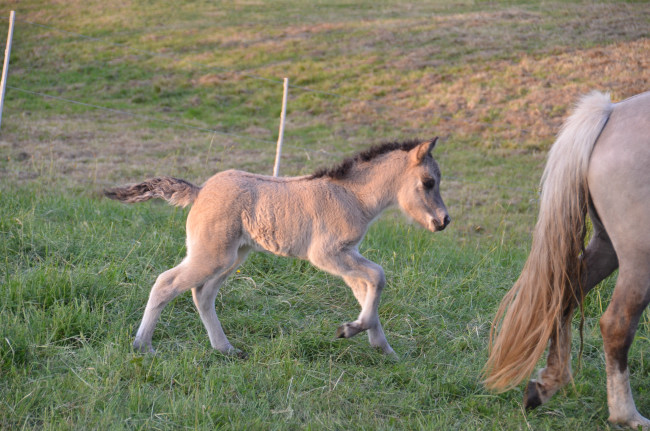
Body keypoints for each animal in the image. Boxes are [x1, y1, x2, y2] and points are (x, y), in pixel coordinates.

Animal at [105, 138, 450, 358]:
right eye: (428, 182)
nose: (444, 221)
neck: (353, 196)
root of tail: (200, 191)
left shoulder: (347, 254)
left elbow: (366, 289)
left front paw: (382, 347)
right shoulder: (327, 254)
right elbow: (378, 276)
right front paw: (351, 332)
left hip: (233, 256)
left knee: (203, 294)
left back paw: (225, 349)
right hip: (213, 254)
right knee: (167, 283)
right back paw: (143, 347)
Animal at [484, 90, 650, 429]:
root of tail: (609, 112)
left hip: (608, 247)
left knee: (563, 298)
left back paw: (546, 385)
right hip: (639, 258)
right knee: (617, 325)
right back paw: (627, 415)